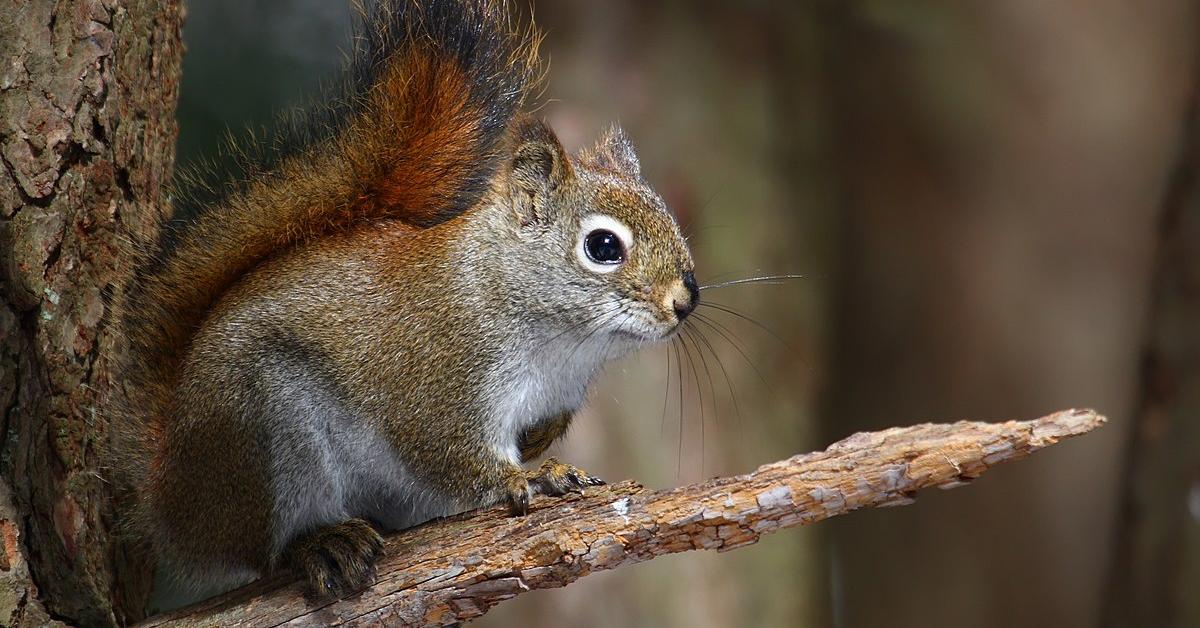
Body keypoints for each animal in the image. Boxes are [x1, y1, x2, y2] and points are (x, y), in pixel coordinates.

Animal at [114, 0, 696, 602]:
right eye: (603, 246)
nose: (686, 299)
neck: (561, 342)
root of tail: (171, 497)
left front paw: (540, 443)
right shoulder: (437, 376)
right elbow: (448, 451)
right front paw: (528, 476)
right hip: (266, 429)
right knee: (266, 548)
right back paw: (321, 542)